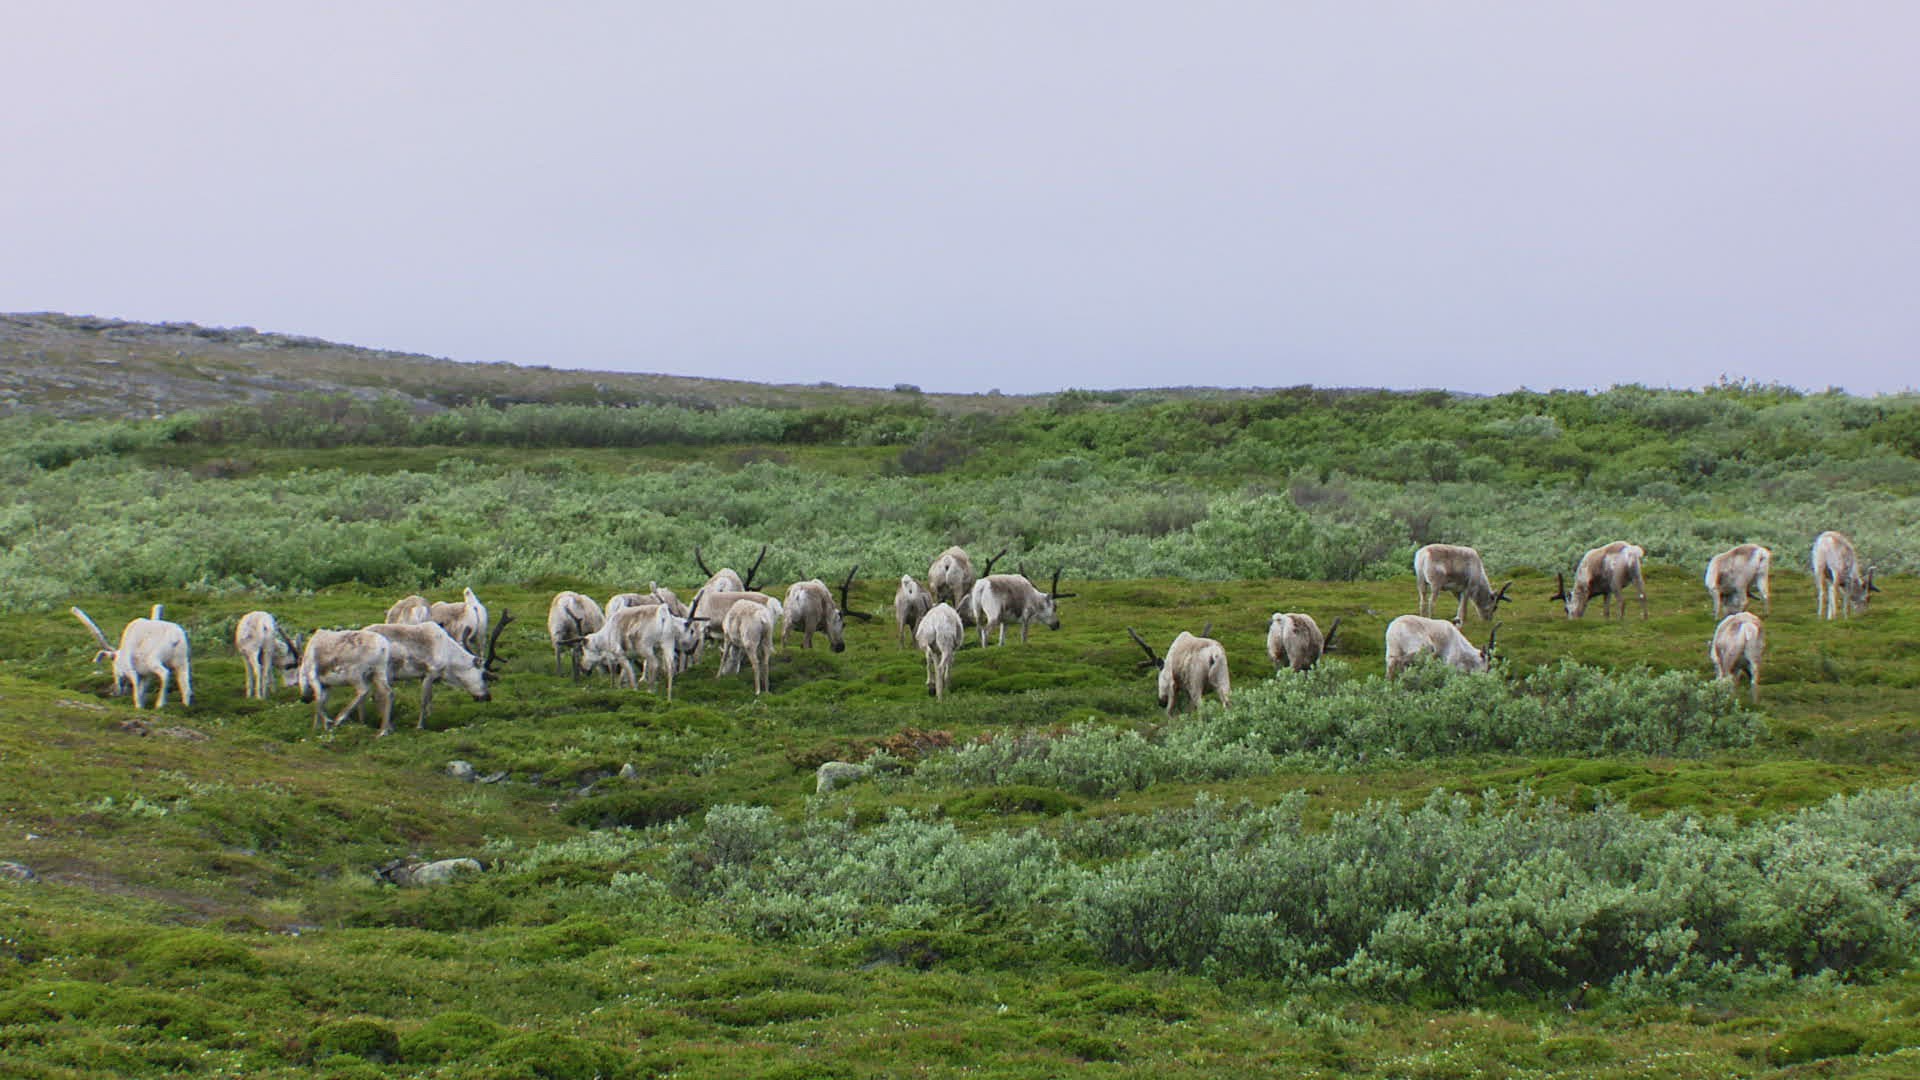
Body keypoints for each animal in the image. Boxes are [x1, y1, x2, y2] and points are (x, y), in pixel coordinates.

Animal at [361, 612, 510, 732]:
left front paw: (431, 717)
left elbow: (430, 699)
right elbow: (424, 700)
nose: (488, 697)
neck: (449, 659)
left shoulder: (429, 676)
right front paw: (420, 726)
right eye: (484, 676)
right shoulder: (430, 672)